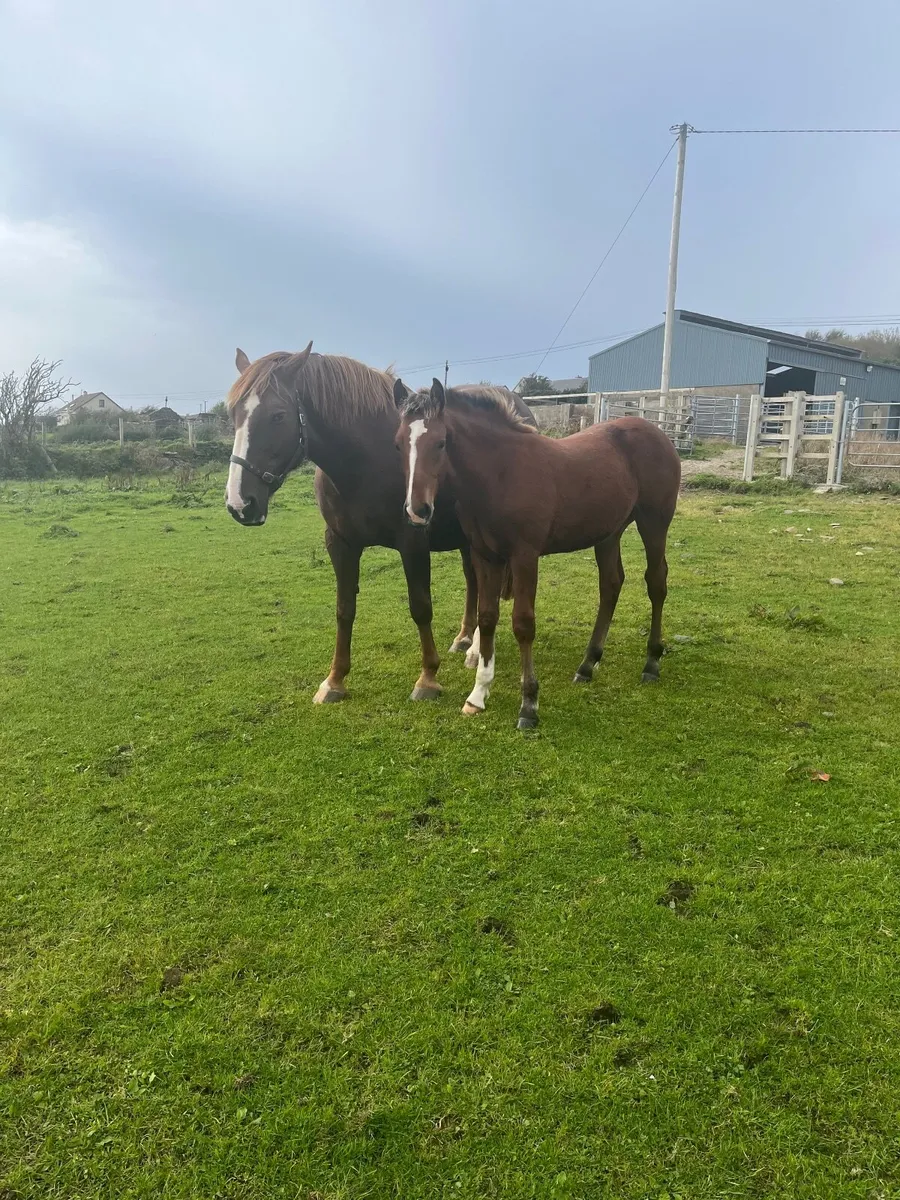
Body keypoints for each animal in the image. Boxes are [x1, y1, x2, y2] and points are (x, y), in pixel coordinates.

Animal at [224, 344, 535, 703]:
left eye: (278, 415)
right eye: (233, 415)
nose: (239, 503)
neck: (364, 461)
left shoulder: (413, 541)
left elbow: (420, 607)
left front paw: (427, 678)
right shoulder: (340, 543)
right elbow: (344, 608)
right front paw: (334, 681)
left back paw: (474, 652)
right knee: (474, 582)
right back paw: (464, 639)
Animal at [393, 377, 681, 729]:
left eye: (441, 442)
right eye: (398, 444)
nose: (417, 510)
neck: (501, 473)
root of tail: (657, 432)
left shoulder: (524, 556)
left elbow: (523, 624)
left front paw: (528, 705)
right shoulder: (485, 556)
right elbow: (487, 617)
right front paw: (477, 695)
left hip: (654, 522)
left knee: (656, 582)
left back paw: (651, 662)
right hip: (609, 533)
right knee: (611, 585)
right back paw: (588, 665)